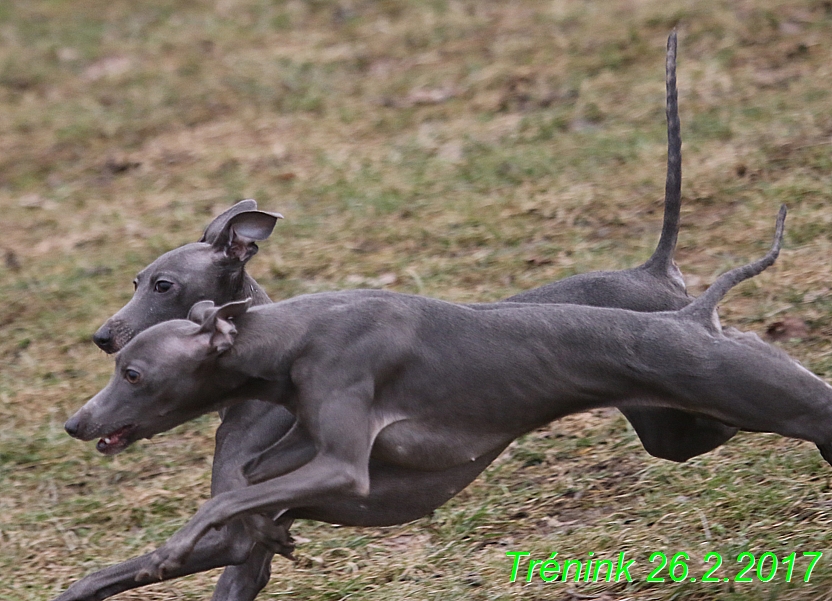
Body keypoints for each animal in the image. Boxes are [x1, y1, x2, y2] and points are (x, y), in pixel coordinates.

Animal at [66, 205, 832, 580]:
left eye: (162, 284)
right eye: (136, 279)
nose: (76, 421)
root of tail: (673, 289)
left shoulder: (244, 539)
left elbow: (206, 522)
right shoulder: (261, 533)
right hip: (679, 425)